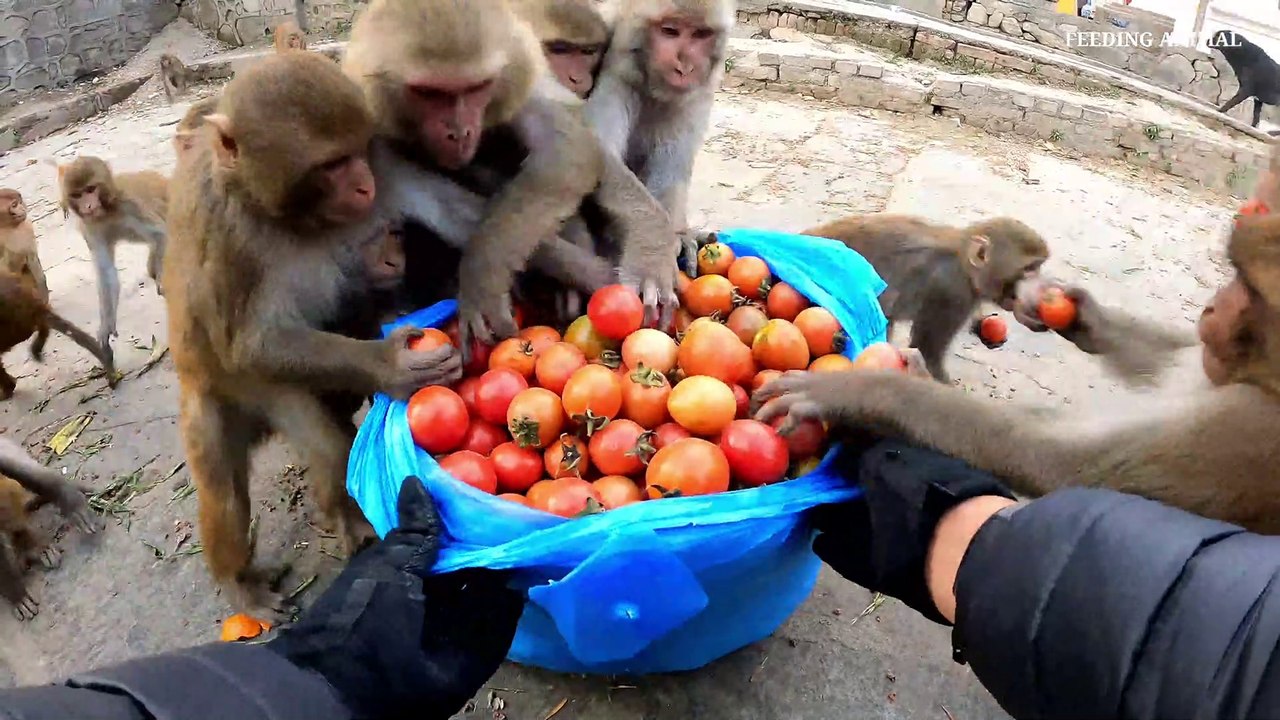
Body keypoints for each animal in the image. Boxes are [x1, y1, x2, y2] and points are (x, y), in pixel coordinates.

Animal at [57, 156, 169, 368]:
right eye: (77, 195)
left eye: (90, 189)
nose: (88, 206)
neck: (106, 211)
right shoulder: (90, 226)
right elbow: (106, 271)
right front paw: (106, 326)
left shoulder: (129, 204)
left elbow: (161, 235)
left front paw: (161, 280)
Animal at [164, 51, 462, 619]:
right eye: (330, 165)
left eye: (355, 152)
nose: (365, 185)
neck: (282, 216)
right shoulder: (225, 228)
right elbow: (251, 343)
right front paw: (392, 365)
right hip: (225, 398)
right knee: (236, 486)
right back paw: (242, 582)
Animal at [341, 0, 682, 349]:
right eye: (429, 93)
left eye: (476, 88)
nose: (459, 132)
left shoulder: (515, 78)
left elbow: (568, 150)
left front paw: (483, 275)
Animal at [584, 0, 735, 270]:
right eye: (670, 31)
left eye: (700, 34)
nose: (685, 65)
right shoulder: (614, 70)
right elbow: (597, 151)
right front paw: (653, 248)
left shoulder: (699, 90)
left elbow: (671, 168)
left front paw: (679, 237)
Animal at [801, 214, 1051, 384]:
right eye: (1028, 269)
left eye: (1038, 267)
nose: (1038, 284)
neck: (964, 264)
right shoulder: (950, 292)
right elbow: (929, 354)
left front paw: (983, 325)